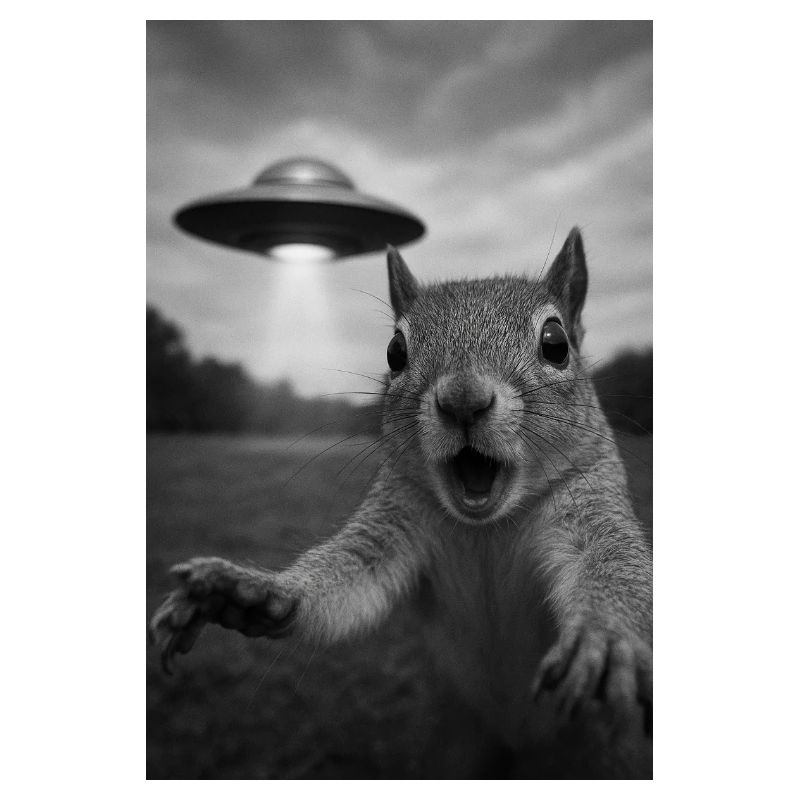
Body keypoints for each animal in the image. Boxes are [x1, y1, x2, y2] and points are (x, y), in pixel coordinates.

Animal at [150, 227, 653, 779]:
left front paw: (606, 637)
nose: (463, 400)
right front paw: (251, 591)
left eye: (556, 344)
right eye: (394, 351)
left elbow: (614, 565)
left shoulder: (593, 501)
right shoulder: (393, 517)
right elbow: (348, 580)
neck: (487, 527)